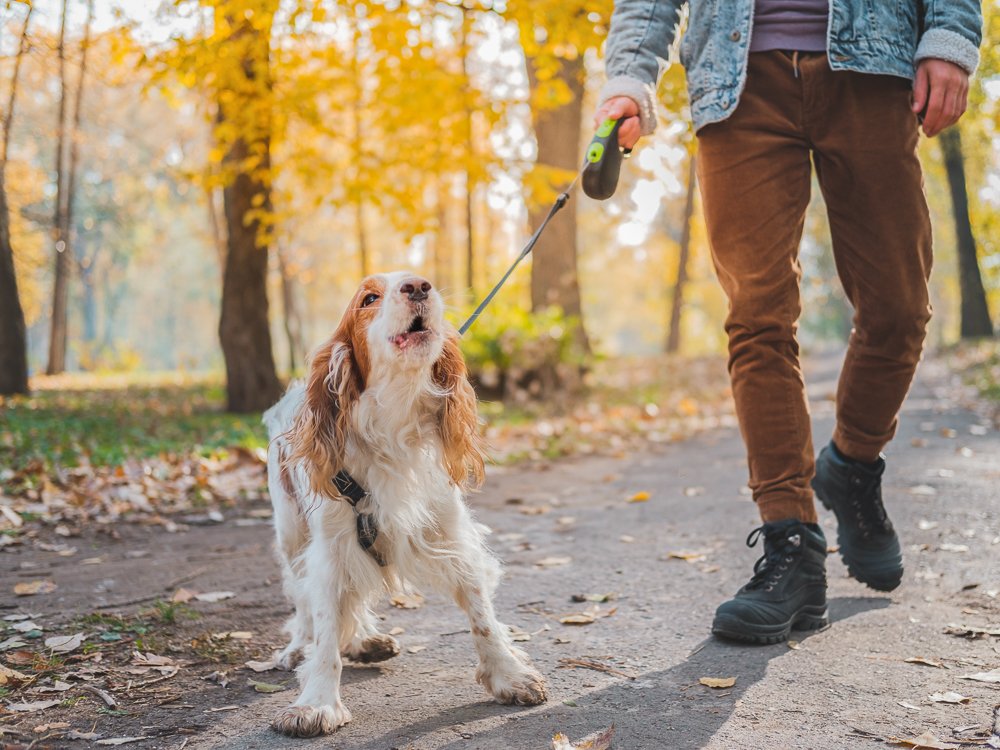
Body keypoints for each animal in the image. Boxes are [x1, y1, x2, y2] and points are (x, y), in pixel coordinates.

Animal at [262, 272, 548, 740]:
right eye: (369, 298)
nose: (418, 286)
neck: (393, 424)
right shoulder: (331, 548)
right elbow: (325, 628)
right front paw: (317, 702)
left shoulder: (451, 534)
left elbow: (482, 615)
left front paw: (509, 674)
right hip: (292, 533)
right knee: (302, 599)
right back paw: (299, 647)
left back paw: (365, 640)